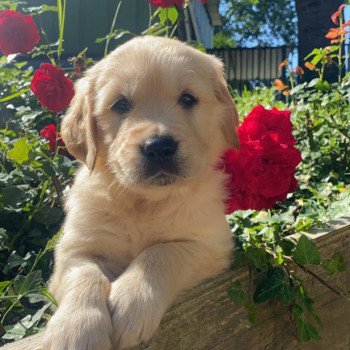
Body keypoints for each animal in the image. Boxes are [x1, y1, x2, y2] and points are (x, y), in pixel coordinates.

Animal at [41, 36, 238, 350]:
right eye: (121, 104)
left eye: (187, 99)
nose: (159, 147)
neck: (145, 201)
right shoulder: (75, 249)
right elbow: (83, 273)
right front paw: (76, 329)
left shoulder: (210, 244)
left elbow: (160, 252)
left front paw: (132, 302)